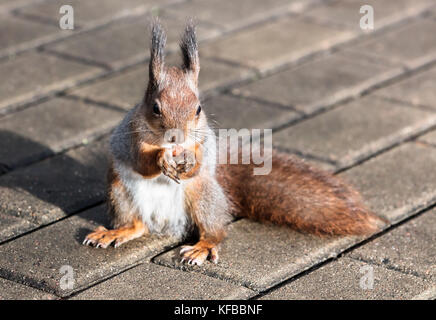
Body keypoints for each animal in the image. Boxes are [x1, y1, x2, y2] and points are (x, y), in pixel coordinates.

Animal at [82, 19, 384, 264]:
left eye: (198, 109)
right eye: (155, 108)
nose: (177, 137)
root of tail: (165, 224)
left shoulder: (204, 140)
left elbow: (199, 158)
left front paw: (189, 159)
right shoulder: (132, 135)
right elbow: (141, 160)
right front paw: (161, 158)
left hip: (203, 195)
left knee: (215, 232)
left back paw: (202, 247)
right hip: (119, 190)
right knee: (137, 225)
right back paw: (116, 232)